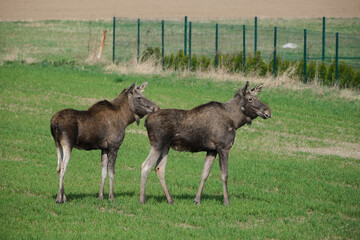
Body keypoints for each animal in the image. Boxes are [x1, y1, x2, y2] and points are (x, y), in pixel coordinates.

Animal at [139, 81, 272, 205]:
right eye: (250, 99)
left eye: (258, 98)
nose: (268, 111)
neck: (235, 122)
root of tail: (146, 121)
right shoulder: (223, 147)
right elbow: (224, 175)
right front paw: (226, 201)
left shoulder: (211, 150)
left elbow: (205, 174)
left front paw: (197, 200)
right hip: (157, 144)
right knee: (145, 166)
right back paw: (142, 199)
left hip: (166, 147)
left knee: (159, 168)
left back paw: (170, 200)